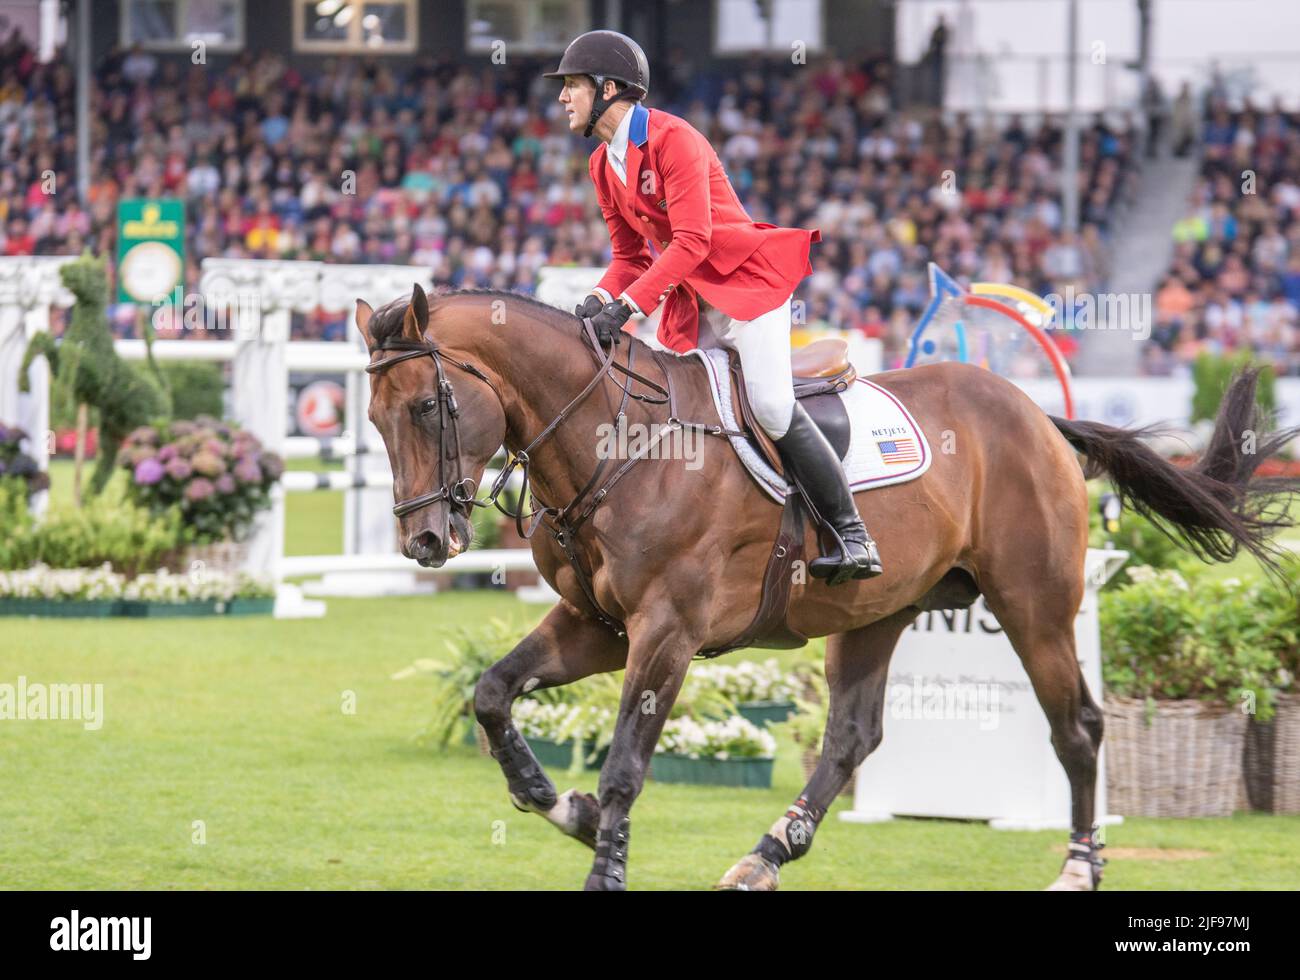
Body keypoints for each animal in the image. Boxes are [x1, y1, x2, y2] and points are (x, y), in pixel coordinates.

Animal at [356, 282, 1300, 883]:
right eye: (373, 415)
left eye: (430, 407)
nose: (428, 541)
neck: (614, 441)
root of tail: (1035, 415)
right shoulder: (598, 625)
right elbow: (492, 694)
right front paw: (560, 805)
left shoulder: (666, 633)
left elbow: (627, 766)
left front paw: (601, 854)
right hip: (878, 611)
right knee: (851, 735)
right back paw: (765, 855)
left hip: (1034, 606)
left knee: (1077, 727)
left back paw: (1078, 868)